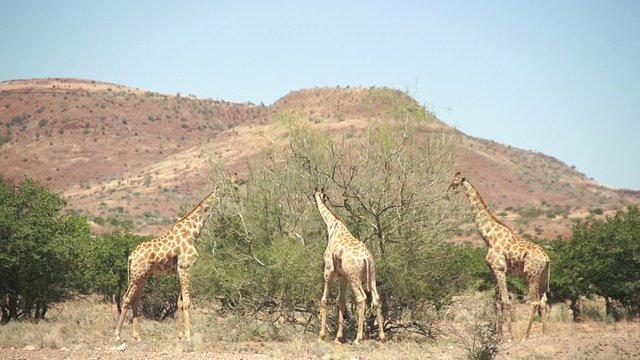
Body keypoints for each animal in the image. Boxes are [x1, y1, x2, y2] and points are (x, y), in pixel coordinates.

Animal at [113, 188, 218, 344]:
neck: (193, 232)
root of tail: (131, 256)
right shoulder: (186, 267)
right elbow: (186, 302)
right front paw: (188, 336)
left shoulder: (181, 270)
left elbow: (179, 302)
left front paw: (180, 335)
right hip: (137, 275)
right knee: (126, 298)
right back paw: (117, 335)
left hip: (143, 276)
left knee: (135, 300)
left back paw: (138, 336)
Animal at [312, 188, 384, 344]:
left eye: (315, 196)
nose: (316, 201)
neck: (332, 226)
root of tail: (366, 258)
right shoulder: (342, 276)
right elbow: (341, 301)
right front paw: (338, 337)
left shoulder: (329, 270)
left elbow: (325, 300)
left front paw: (321, 335)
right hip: (372, 275)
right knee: (376, 299)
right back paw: (382, 337)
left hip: (354, 277)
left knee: (362, 299)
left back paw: (358, 338)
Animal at [450, 172, 552, 340]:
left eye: (454, 184)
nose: (446, 194)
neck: (489, 237)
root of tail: (547, 258)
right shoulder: (493, 271)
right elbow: (496, 301)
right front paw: (498, 335)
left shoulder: (500, 269)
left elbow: (505, 301)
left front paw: (509, 335)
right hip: (542, 277)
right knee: (543, 301)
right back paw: (544, 333)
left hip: (532, 276)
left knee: (534, 302)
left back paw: (525, 335)